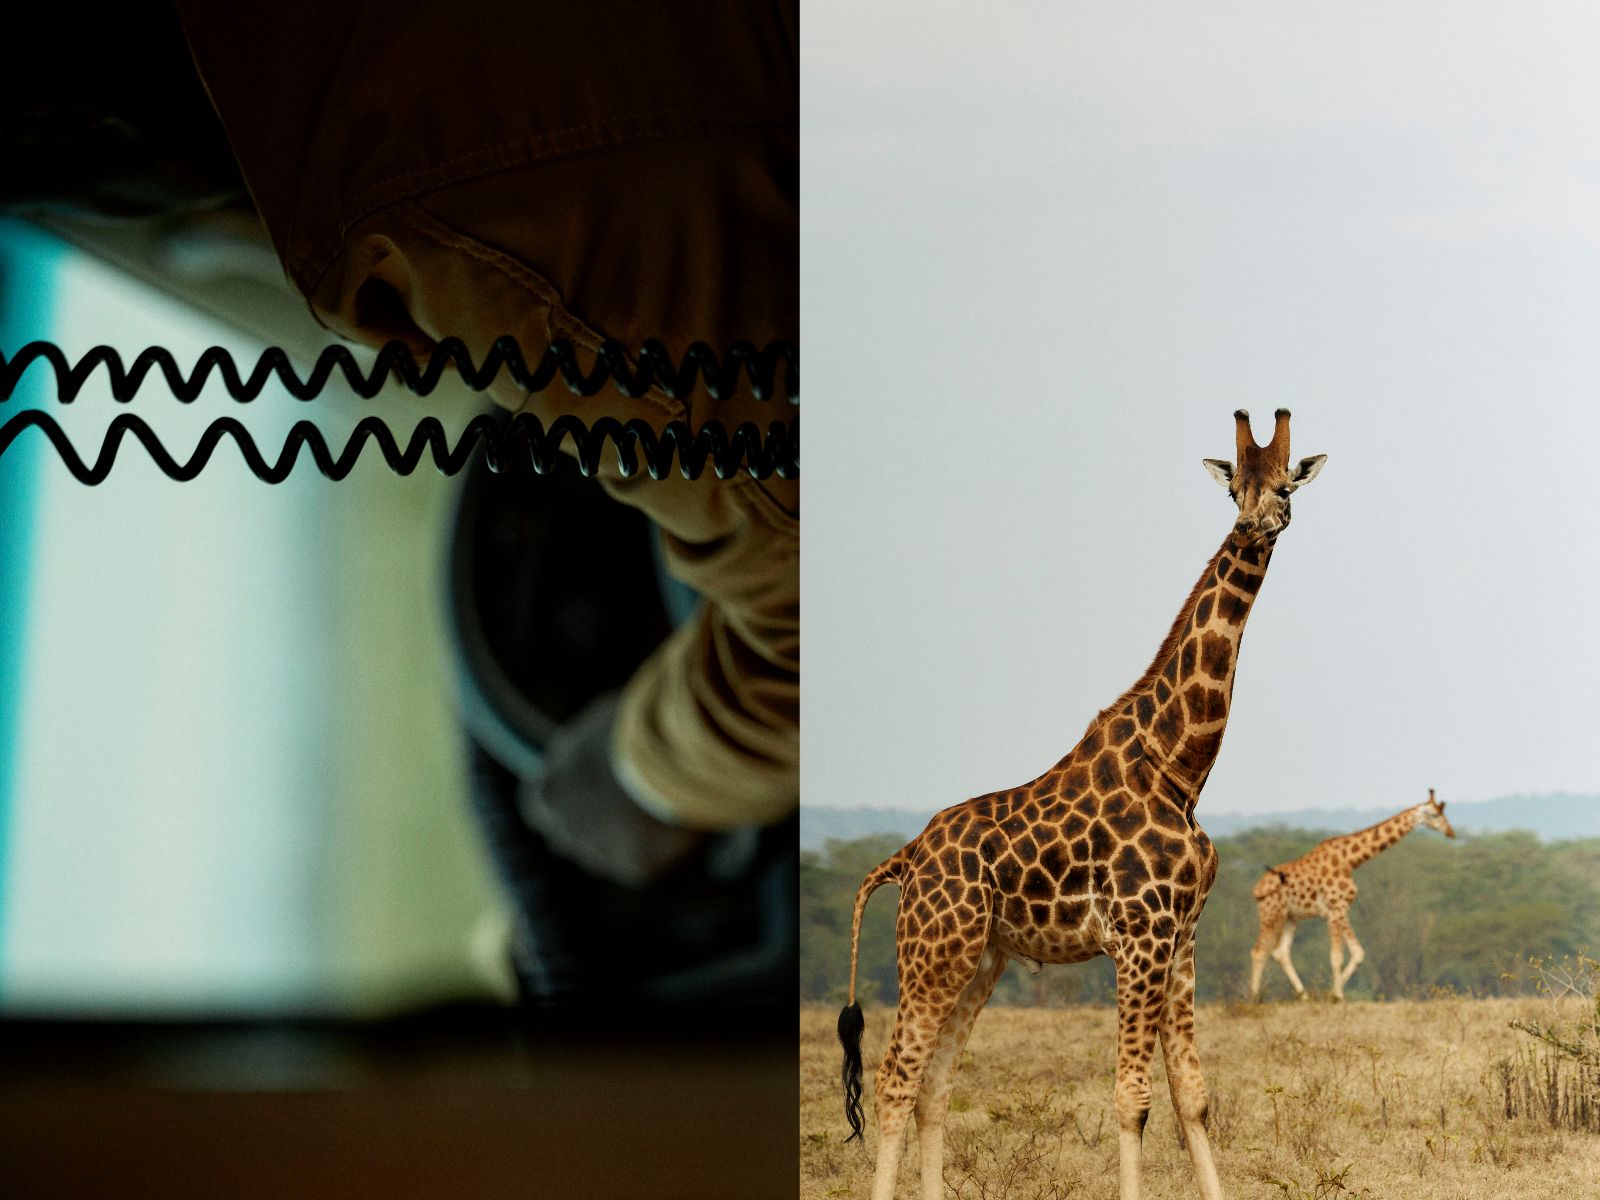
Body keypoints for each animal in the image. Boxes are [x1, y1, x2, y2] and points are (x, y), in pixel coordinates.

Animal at [835, 410, 1326, 1200]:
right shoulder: (1138, 936)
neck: (1181, 766)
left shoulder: (1180, 937)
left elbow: (1193, 1095)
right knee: (894, 1080)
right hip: (934, 950)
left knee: (935, 1085)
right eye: (1233, 491)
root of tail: (905, 857)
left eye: (1285, 486)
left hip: (981, 958)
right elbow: (1133, 1098)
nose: (1255, 526)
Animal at [1249, 790, 1455, 1002]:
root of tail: (1257, 888)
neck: (1350, 861)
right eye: (1435, 815)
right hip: (1272, 913)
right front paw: (1338, 996)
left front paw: (1334, 993)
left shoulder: (1341, 909)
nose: (1451, 832)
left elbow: (1358, 954)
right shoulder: (1335, 908)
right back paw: (1254, 999)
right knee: (1258, 951)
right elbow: (1336, 957)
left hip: (1291, 917)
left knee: (1280, 952)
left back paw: (1304, 996)